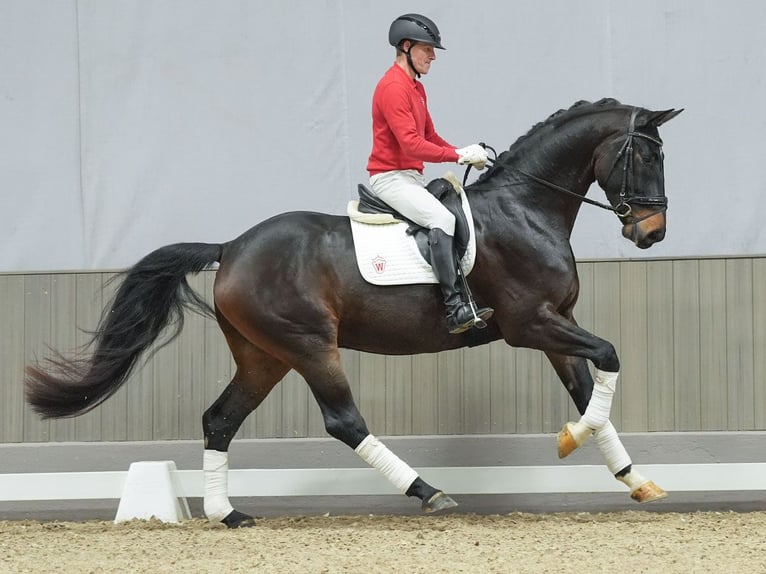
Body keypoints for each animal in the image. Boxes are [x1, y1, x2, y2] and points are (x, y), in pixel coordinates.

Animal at [25, 98, 684, 528]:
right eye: (646, 156)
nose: (651, 232)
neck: (526, 208)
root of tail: (232, 247)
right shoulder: (531, 325)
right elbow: (609, 357)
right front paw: (574, 440)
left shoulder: (553, 326)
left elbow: (591, 392)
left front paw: (634, 478)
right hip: (310, 345)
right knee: (343, 421)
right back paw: (428, 492)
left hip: (264, 355)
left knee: (220, 419)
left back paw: (227, 513)